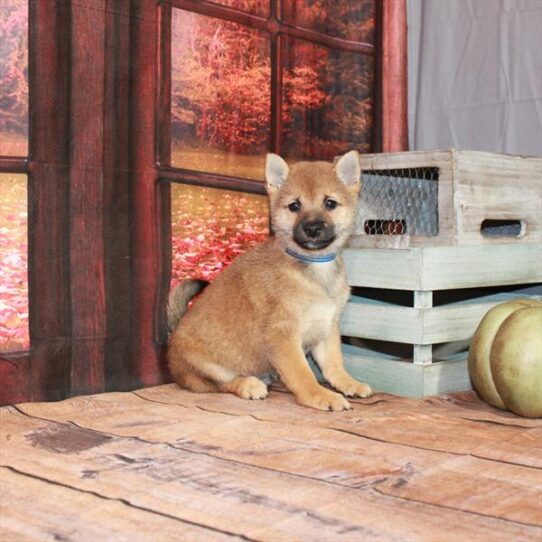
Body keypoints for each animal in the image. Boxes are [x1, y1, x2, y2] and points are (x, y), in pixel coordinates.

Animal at [169, 151, 374, 410]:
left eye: (330, 203)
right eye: (294, 206)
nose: (312, 228)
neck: (313, 266)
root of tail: (171, 337)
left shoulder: (326, 329)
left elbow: (334, 365)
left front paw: (348, 383)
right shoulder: (283, 335)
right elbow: (303, 374)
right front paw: (320, 396)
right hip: (204, 366)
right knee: (222, 384)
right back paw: (249, 385)